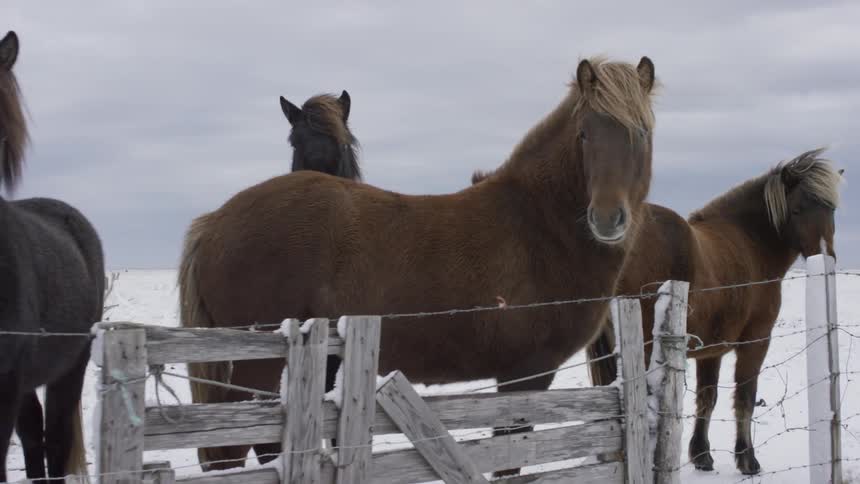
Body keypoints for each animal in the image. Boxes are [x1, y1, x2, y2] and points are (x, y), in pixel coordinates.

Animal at [180, 55, 658, 476]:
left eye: (641, 132)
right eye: (584, 135)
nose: (607, 219)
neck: (537, 223)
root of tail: (214, 221)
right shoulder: (523, 375)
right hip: (254, 368)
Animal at [582, 148, 843, 475]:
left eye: (831, 209)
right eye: (796, 210)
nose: (826, 257)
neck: (750, 242)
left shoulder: (711, 351)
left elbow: (708, 398)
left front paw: (702, 455)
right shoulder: (756, 342)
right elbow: (744, 396)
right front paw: (747, 459)